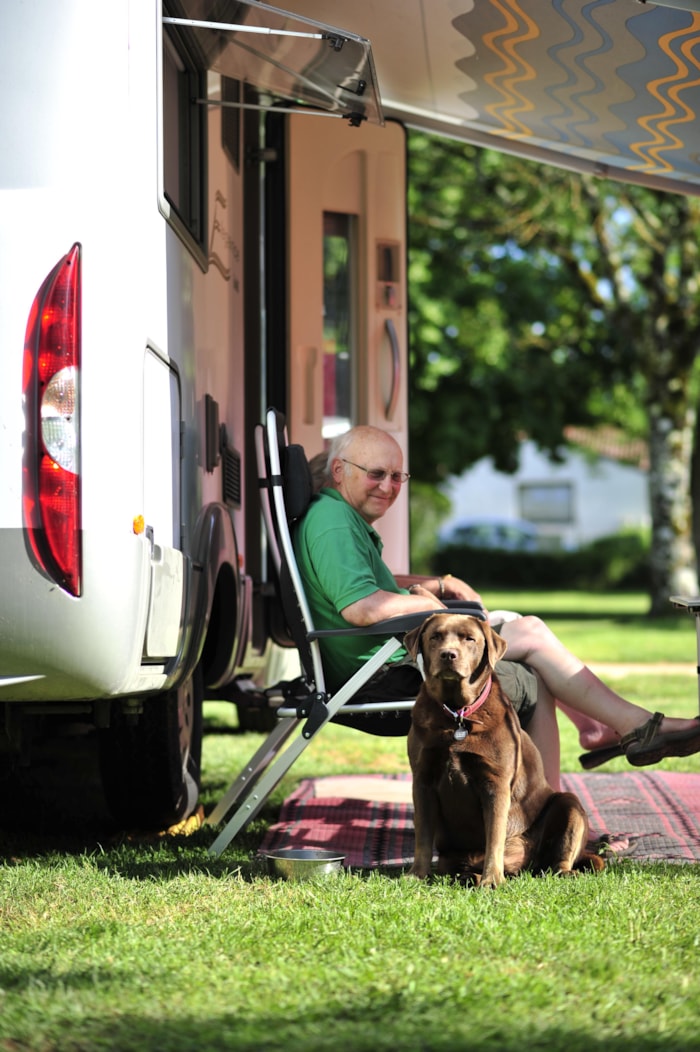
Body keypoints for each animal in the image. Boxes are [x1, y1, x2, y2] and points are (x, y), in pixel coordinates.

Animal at [402, 614, 602, 883]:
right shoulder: (423, 779)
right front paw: (416, 875)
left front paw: (492, 880)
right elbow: (422, 836)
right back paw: (470, 876)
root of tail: (528, 866)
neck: (457, 714)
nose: (448, 655)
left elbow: (494, 836)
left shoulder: (495, 782)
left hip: (567, 803)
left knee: (558, 856)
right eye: (435, 636)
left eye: (469, 639)